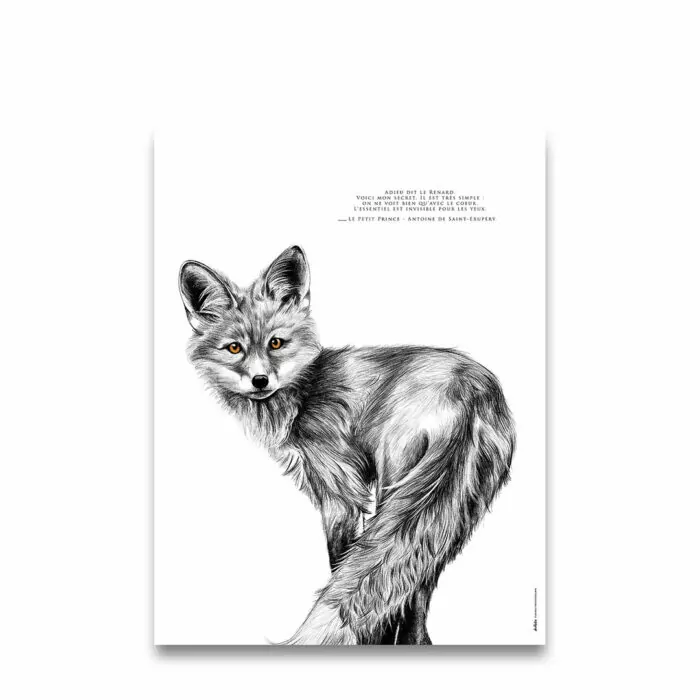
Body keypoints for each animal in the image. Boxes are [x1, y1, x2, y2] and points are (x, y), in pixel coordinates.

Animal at [178, 245, 515, 645]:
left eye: (276, 343)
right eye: (234, 348)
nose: (260, 381)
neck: (303, 394)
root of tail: (471, 388)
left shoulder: (340, 490)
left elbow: (339, 562)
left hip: (396, 482)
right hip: (456, 506)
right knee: (421, 579)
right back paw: (415, 642)